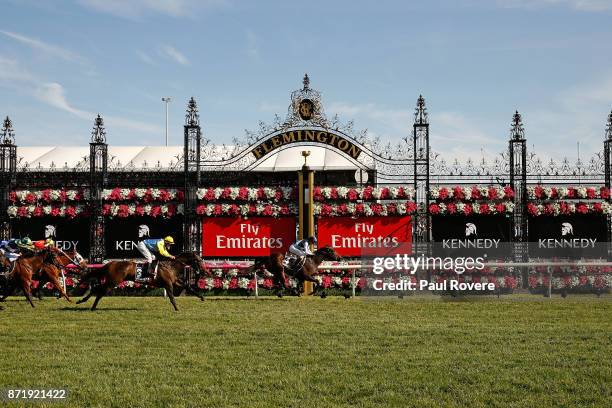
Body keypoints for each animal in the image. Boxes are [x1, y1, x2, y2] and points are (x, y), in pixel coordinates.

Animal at [76, 250, 208, 310]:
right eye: (199, 261)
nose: (203, 271)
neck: (171, 266)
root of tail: (110, 263)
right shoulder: (168, 284)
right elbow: (171, 296)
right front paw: (176, 308)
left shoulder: (174, 281)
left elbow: (187, 286)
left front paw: (201, 297)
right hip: (113, 281)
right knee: (99, 291)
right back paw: (90, 305)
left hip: (111, 281)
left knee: (97, 289)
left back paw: (83, 301)